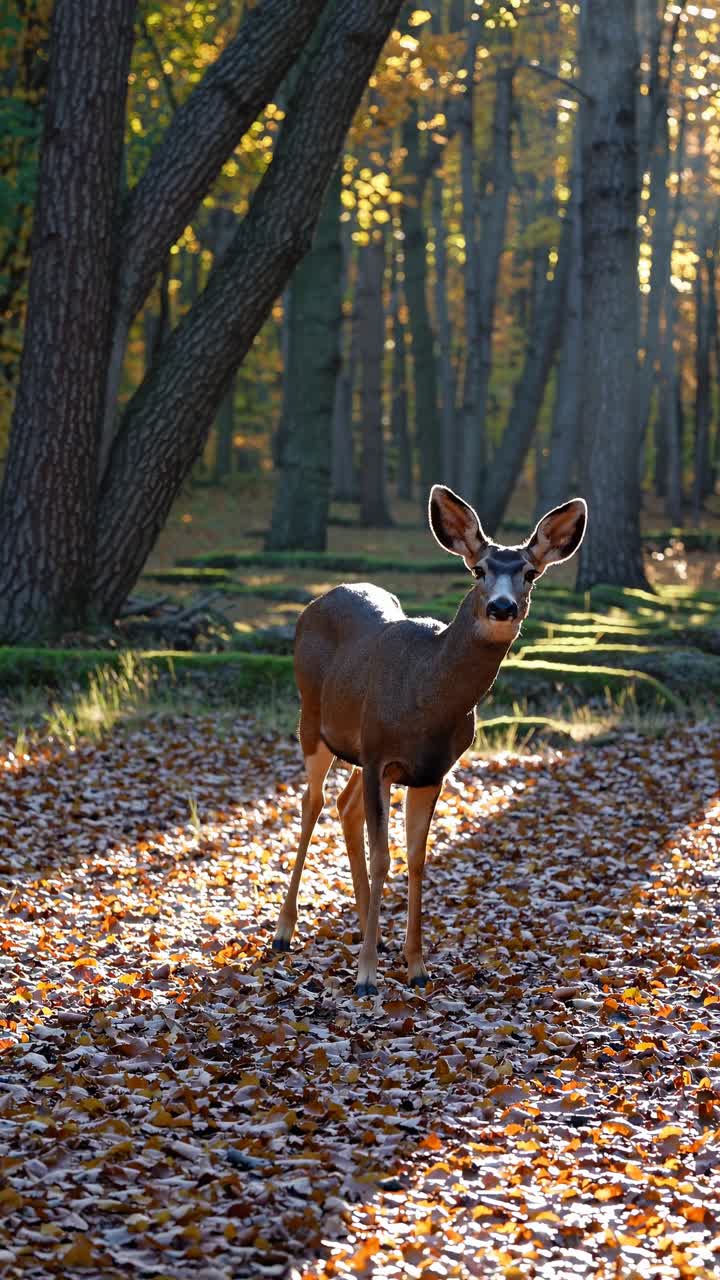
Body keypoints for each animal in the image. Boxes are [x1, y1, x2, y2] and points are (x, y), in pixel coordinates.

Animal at [272, 485, 587, 995]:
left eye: (530, 573)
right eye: (478, 570)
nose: (502, 607)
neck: (427, 698)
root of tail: (318, 601)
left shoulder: (428, 770)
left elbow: (417, 859)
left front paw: (416, 966)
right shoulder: (380, 753)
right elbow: (384, 856)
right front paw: (366, 976)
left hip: (358, 749)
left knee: (344, 804)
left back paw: (372, 930)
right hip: (313, 722)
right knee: (312, 802)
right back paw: (284, 931)